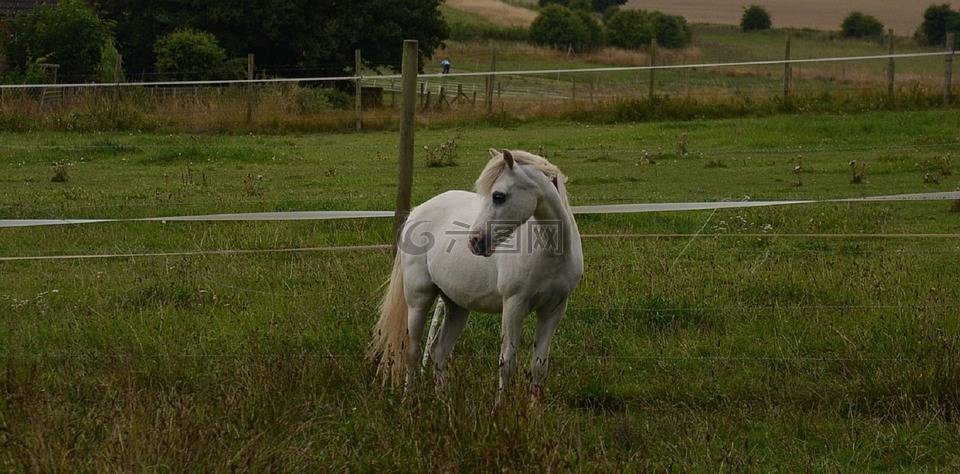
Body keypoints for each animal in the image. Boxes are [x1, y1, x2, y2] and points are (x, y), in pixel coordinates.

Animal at [368, 149, 580, 404]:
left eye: (498, 196)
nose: (475, 241)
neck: (551, 251)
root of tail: (417, 212)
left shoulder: (554, 309)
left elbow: (539, 366)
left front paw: (534, 411)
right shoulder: (514, 306)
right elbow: (507, 363)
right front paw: (500, 410)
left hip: (457, 306)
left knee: (439, 351)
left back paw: (445, 403)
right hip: (418, 298)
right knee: (412, 350)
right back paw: (409, 400)